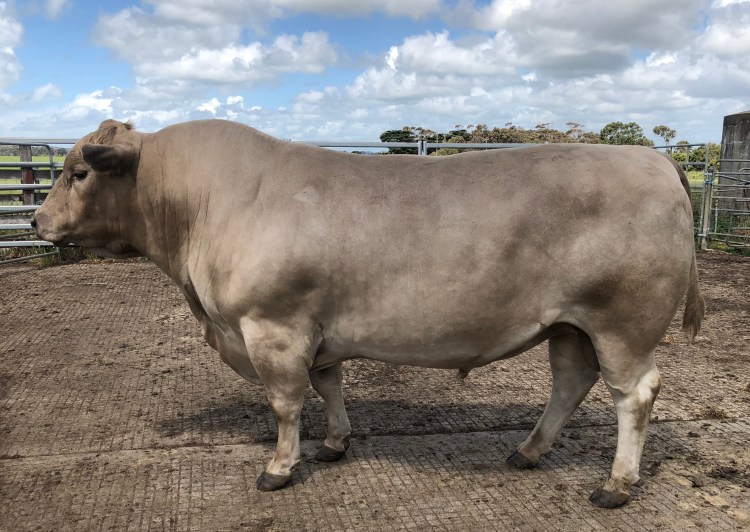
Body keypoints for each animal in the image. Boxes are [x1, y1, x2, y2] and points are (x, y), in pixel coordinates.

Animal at [33, 119, 704, 508]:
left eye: (79, 171)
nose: (36, 221)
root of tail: (651, 160)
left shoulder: (273, 328)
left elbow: (285, 403)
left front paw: (279, 467)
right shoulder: (316, 330)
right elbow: (328, 385)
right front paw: (334, 443)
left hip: (623, 324)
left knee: (634, 394)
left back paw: (615, 485)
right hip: (568, 324)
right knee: (570, 382)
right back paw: (528, 451)